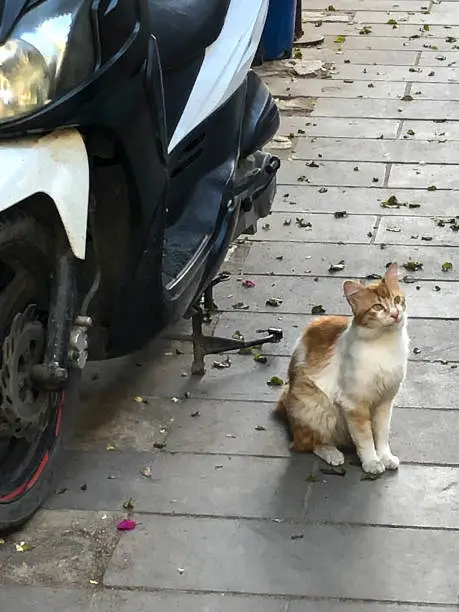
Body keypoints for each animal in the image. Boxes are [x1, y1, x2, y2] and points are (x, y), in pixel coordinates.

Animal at [274, 262, 412, 474]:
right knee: (306, 444)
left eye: (397, 300)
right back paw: (332, 453)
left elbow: (381, 434)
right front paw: (372, 461)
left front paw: (385, 456)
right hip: (314, 406)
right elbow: (365, 438)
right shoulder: (354, 404)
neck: (384, 344)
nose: (395, 314)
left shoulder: (385, 401)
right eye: (378, 307)